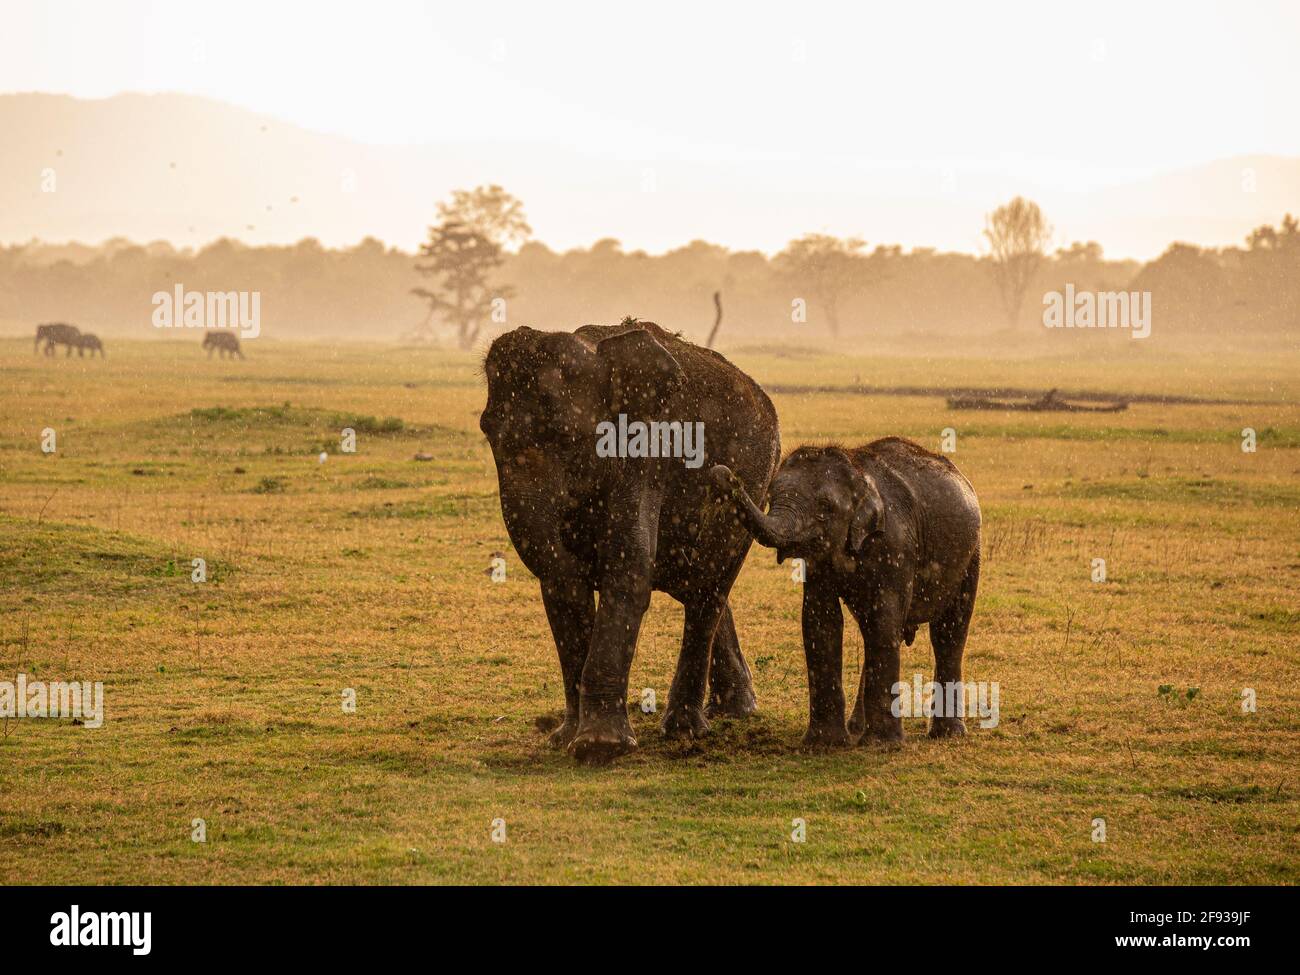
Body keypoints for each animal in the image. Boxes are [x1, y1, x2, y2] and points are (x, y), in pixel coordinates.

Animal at [480, 321, 774, 764]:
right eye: (487, 433)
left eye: (566, 437)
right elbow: (563, 588)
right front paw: (565, 738)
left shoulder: (647, 449)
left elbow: (628, 570)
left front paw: (599, 748)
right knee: (697, 586)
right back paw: (732, 711)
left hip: (754, 486)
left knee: (709, 590)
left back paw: (686, 730)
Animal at [717, 439, 977, 754]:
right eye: (770, 498)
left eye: (825, 508)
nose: (721, 473)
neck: (858, 473)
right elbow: (820, 621)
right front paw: (823, 744)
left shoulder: (896, 546)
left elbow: (883, 621)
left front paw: (882, 745)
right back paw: (856, 728)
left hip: (970, 557)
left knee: (948, 632)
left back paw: (947, 734)